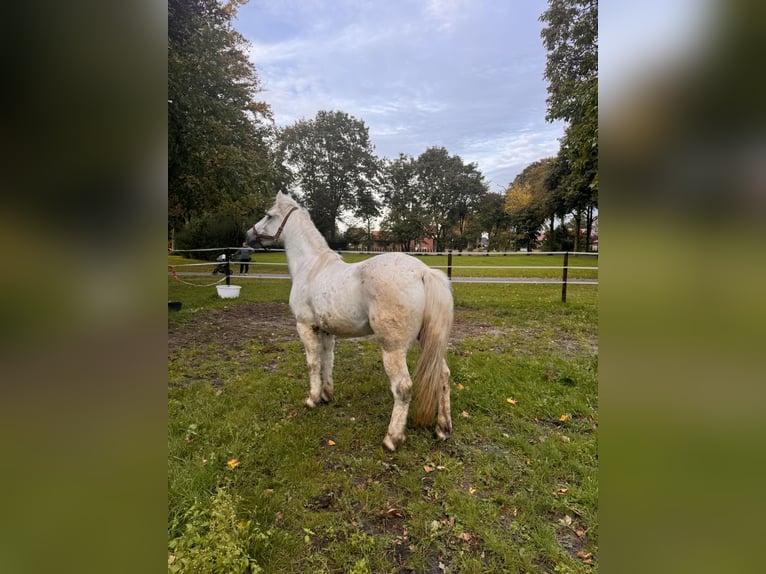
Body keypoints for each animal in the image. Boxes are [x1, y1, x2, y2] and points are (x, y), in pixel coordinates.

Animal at [246, 194, 452, 454]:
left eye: (269, 215)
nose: (247, 235)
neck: (311, 267)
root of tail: (422, 272)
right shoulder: (326, 331)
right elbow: (328, 361)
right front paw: (327, 395)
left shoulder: (305, 326)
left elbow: (313, 363)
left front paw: (312, 399)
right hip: (428, 342)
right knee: (443, 376)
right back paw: (442, 429)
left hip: (393, 349)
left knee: (403, 388)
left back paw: (392, 439)